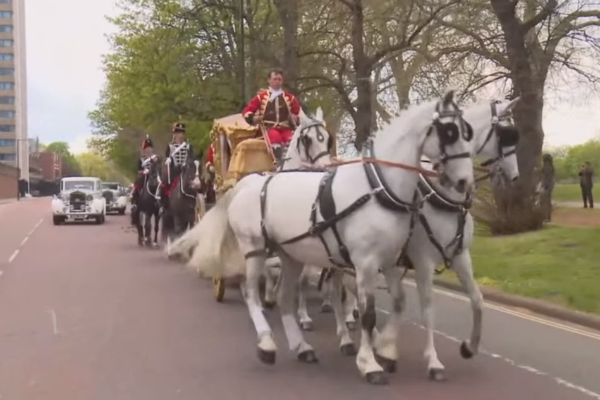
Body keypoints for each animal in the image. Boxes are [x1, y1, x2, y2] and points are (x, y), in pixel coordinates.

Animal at [191, 89, 474, 382]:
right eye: (450, 132)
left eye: (467, 131)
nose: (465, 182)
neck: (377, 188)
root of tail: (252, 181)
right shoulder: (365, 262)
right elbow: (368, 313)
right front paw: (369, 363)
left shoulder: (389, 261)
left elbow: (393, 303)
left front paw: (383, 348)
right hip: (254, 248)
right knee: (252, 293)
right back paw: (267, 343)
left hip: (290, 254)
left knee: (284, 295)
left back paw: (301, 345)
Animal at [318, 97, 520, 382]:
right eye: (504, 134)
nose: (515, 176)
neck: (441, 195)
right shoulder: (423, 259)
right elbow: (427, 309)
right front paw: (432, 361)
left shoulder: (460, 255)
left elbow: (477, 299)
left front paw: (469, 346)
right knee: (339, 293)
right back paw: (346, 337)